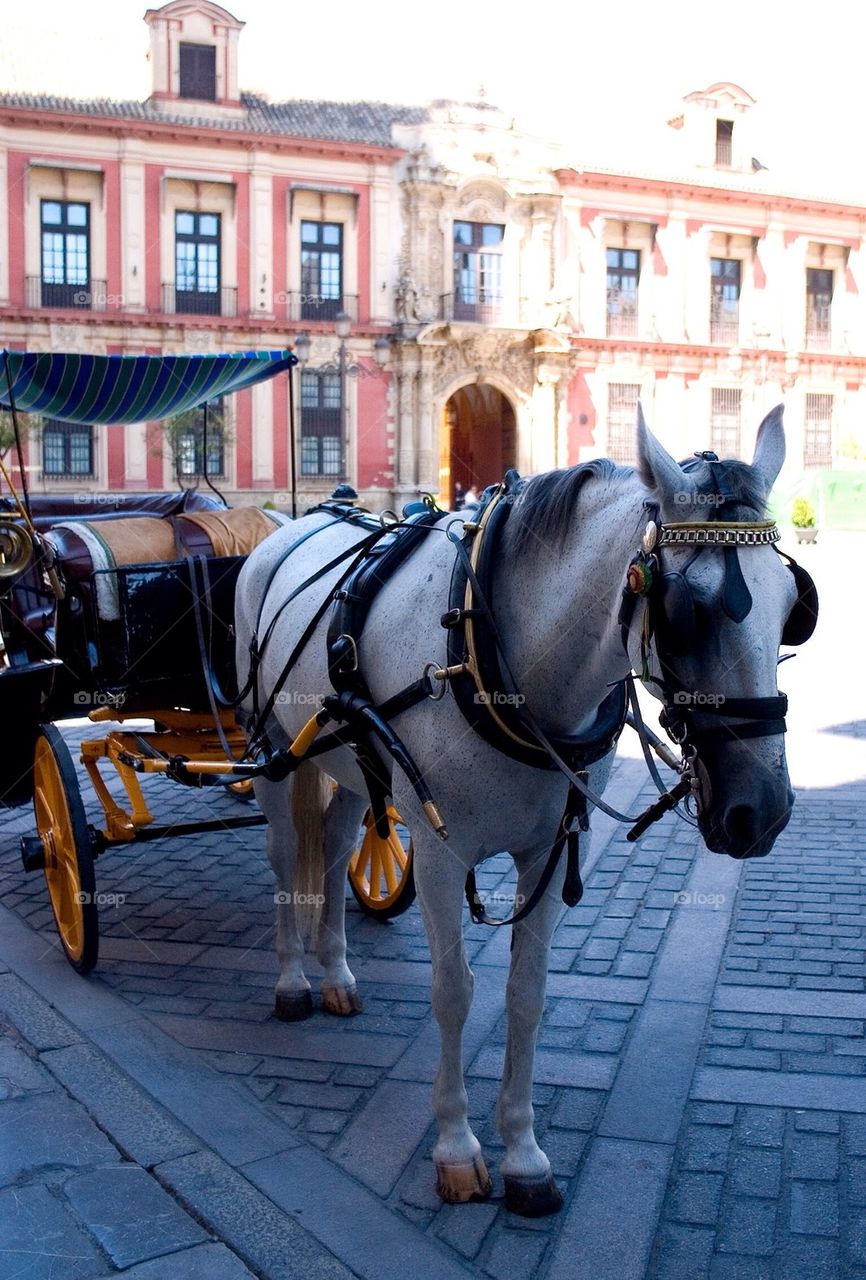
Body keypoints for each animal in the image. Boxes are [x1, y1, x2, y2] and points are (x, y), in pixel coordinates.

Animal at [234, 406, 809, 1216]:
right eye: (691, 610)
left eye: (795, 607)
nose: (762, 811)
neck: (495, 653)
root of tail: (294, 523)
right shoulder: (440, 855)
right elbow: (454, 993)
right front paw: (456, 1148)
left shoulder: (551, 849)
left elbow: (526, 996)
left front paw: (525, 1154)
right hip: (275, 749)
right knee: (287, 858)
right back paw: (292, 981)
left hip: (347, 760)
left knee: (343, 839)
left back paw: (338, 973)